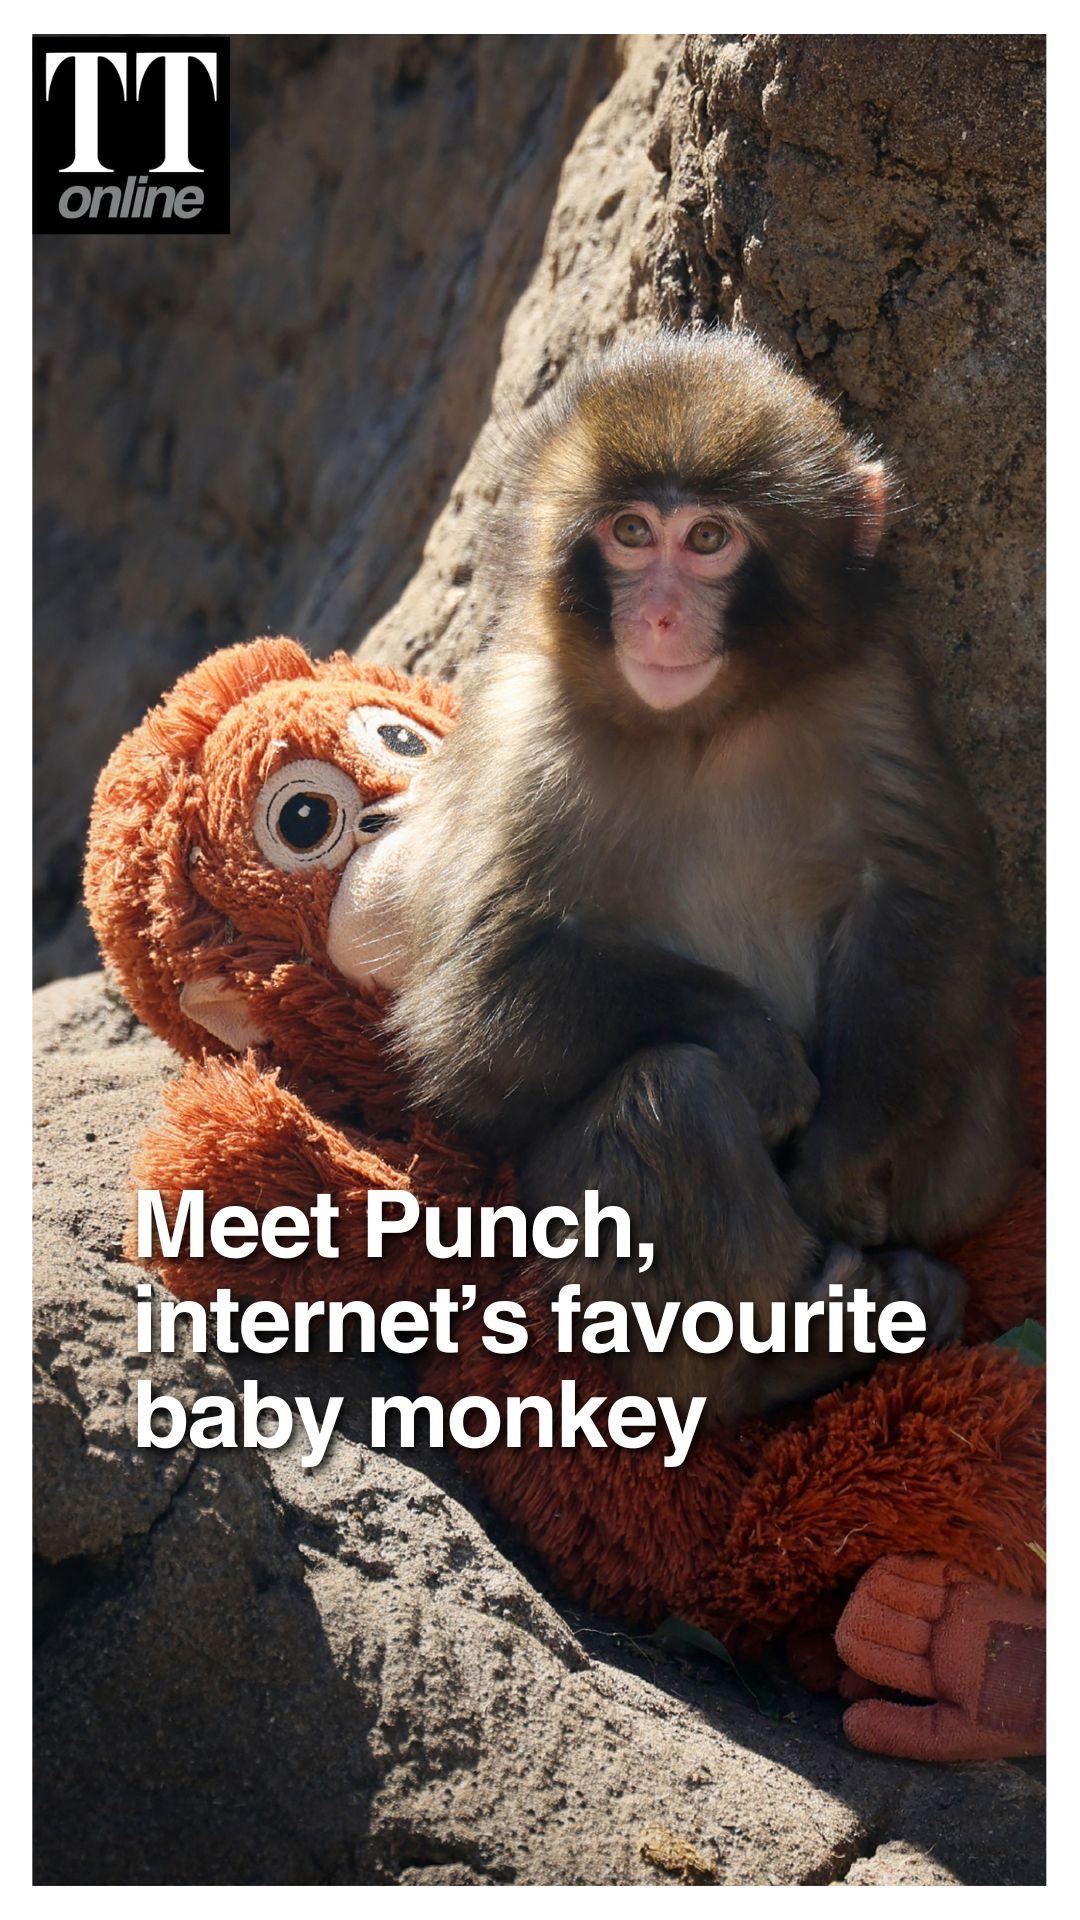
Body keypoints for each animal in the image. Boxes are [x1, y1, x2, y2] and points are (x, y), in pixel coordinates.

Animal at [387, 328, 1020, 1422]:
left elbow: (919, 901)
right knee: (672, 1094)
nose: (660, 618)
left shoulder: (874, 685)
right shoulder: (522, 722)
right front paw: (753, 1041)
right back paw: (776, 1362)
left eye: (710, 540)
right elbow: (475, 1002)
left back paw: (906, 1283)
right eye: (633, 532)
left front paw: (837, 1164)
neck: (703, 725)